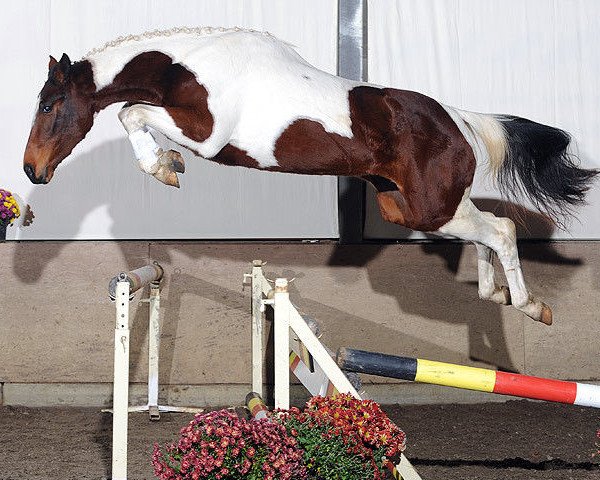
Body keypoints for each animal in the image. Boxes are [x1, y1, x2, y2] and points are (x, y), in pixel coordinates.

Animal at [23, 27, 600, 326]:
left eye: (50, 105)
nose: (32, 169)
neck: (185, 65)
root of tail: (458, 119)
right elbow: (132, 114)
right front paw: (165, 165)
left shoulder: (206, 134)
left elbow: (130, 113)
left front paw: (166, 167)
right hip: (409, 206)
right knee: (485, 230)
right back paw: (495, 295)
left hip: (429, 208)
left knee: (500, 230)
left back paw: (530, 305)